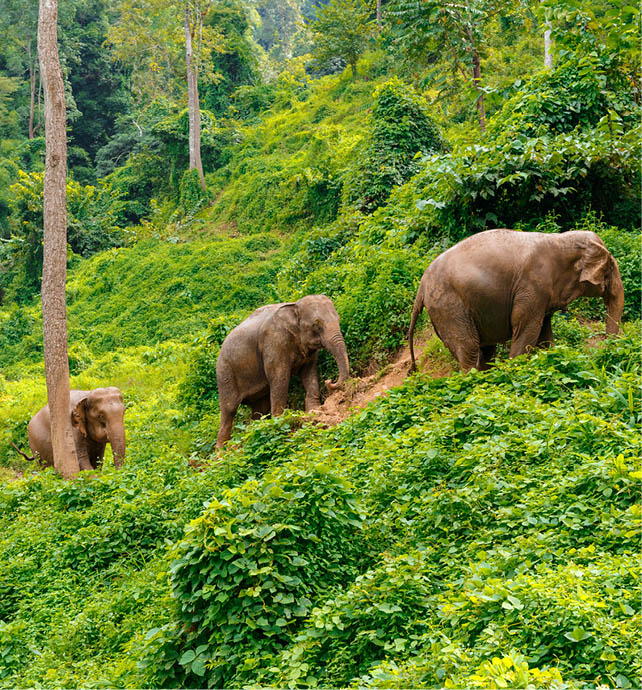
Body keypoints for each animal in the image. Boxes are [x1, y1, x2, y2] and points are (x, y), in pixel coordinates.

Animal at [216, 294, 350, 447]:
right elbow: (280, 378)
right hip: (225, 373)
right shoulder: (273, 343)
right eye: (317, 325)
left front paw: (314, 411)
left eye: (338, 319)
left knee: (260, 407)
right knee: (229, 409)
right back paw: (221, 450)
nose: (329, 381)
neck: (294, 306)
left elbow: (309, 373)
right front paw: (280, 422)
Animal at [408, 229, 624, 373]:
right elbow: (526, 327)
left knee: (484, 349)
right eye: (609, 268)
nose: (604, 352)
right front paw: (515, 368)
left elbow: (544, 333)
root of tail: (421, 286)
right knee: (469, 347)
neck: (560, 238)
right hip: (448, 306)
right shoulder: (532, 285)